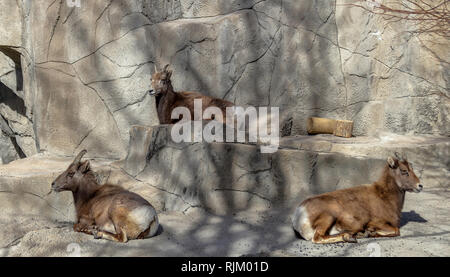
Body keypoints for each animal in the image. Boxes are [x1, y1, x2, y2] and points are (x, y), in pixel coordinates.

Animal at [292, 154, 422, 243]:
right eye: (404, 171)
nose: (420, 186)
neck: (385, 198)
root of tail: (299, 215)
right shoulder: (377, 222)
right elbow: (396, 230)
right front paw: (368, 233)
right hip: (329, 218)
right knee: (318, 238)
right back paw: (349, 237)